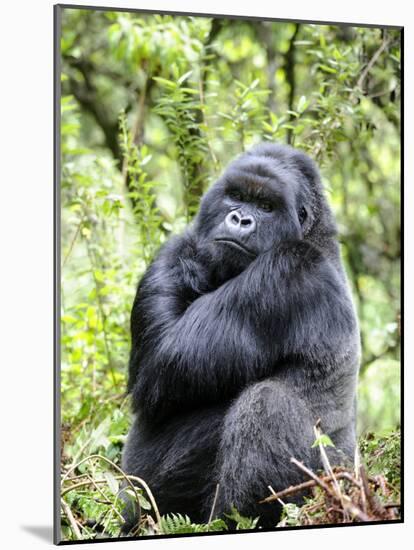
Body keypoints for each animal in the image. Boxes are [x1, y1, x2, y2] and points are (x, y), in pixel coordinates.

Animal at [120, 144, 360, 532]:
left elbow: (161, 362)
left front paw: (191, 260)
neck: (312, 234)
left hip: (330, 484)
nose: (240, 219)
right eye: (236, 196)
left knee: (267, 403)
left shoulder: (287, 269)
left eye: (265, 206)